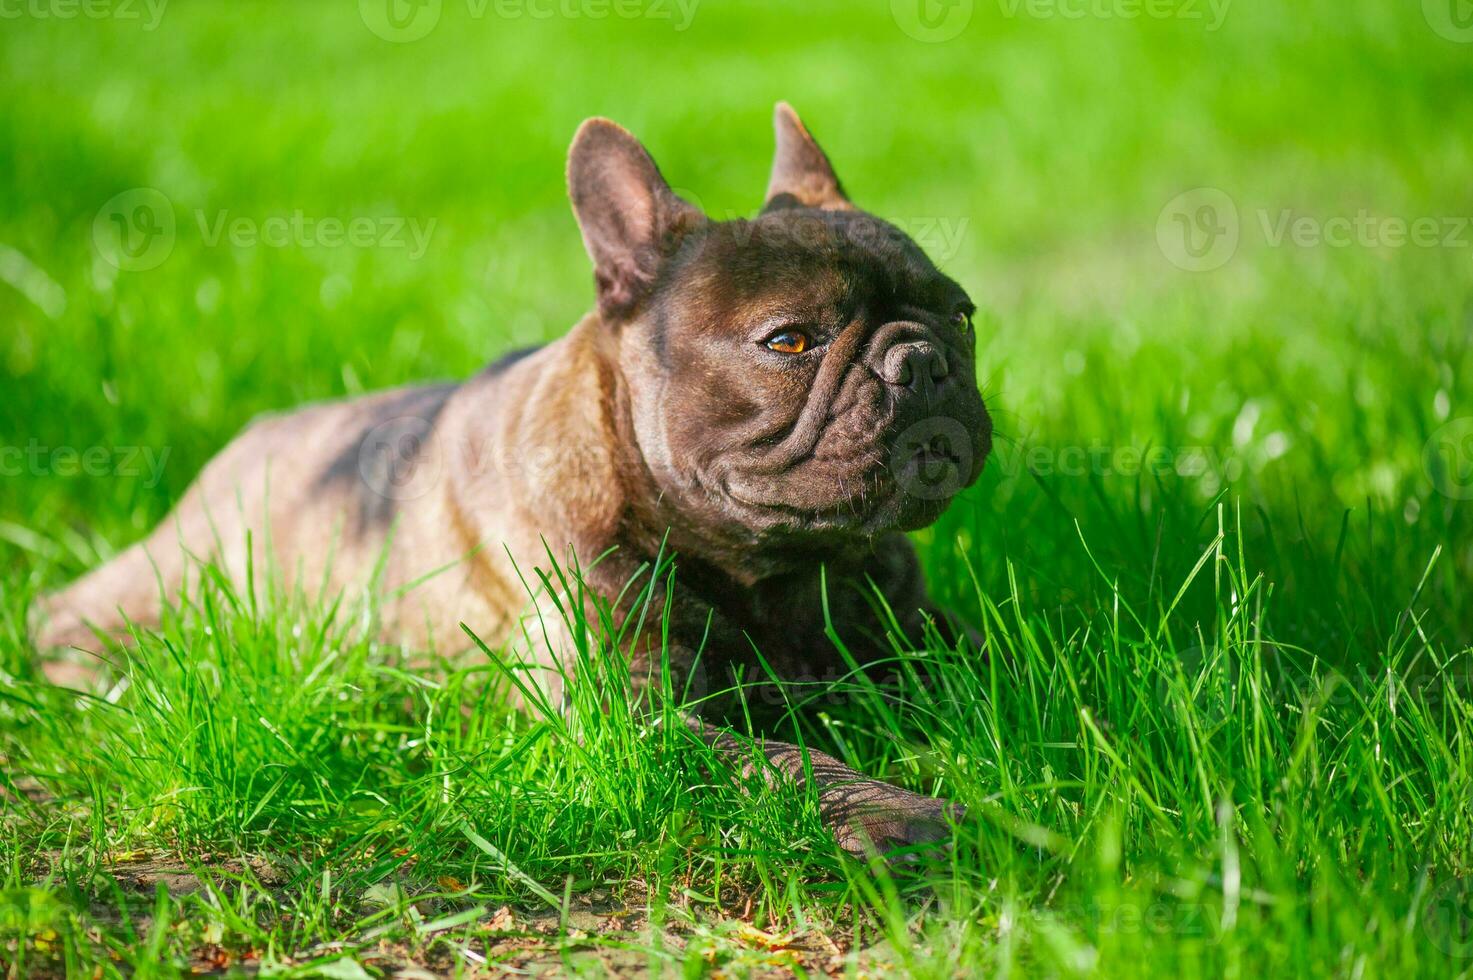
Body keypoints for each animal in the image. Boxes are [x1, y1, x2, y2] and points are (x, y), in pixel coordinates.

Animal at [37, 105, 989, 854]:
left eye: (961, 313)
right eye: (789, 341)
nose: (920, 360)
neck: (782, 567)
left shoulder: (919, 629)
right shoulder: (635, 712)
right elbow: (786, 763)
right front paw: (909, 818)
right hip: (181, 575)